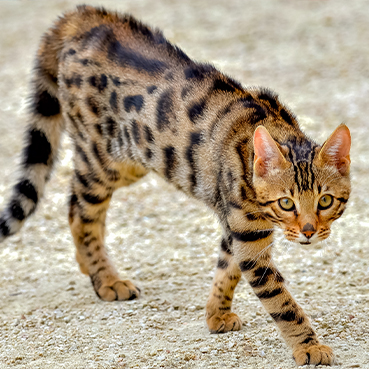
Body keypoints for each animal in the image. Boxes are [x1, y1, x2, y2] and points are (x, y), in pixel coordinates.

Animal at [0, 5, 350, 366]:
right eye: (286, 203)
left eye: (325, 201)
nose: (309, 231)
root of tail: (85, 14)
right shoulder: (249, 238)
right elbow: (282, 302)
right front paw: (309, 346)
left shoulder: (236, 228)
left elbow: (226, 269)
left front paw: (215, 313)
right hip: (101, 158)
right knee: (81, 213)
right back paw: (107, 279)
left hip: (128, 163)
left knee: (74, 204)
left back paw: (91, 267)